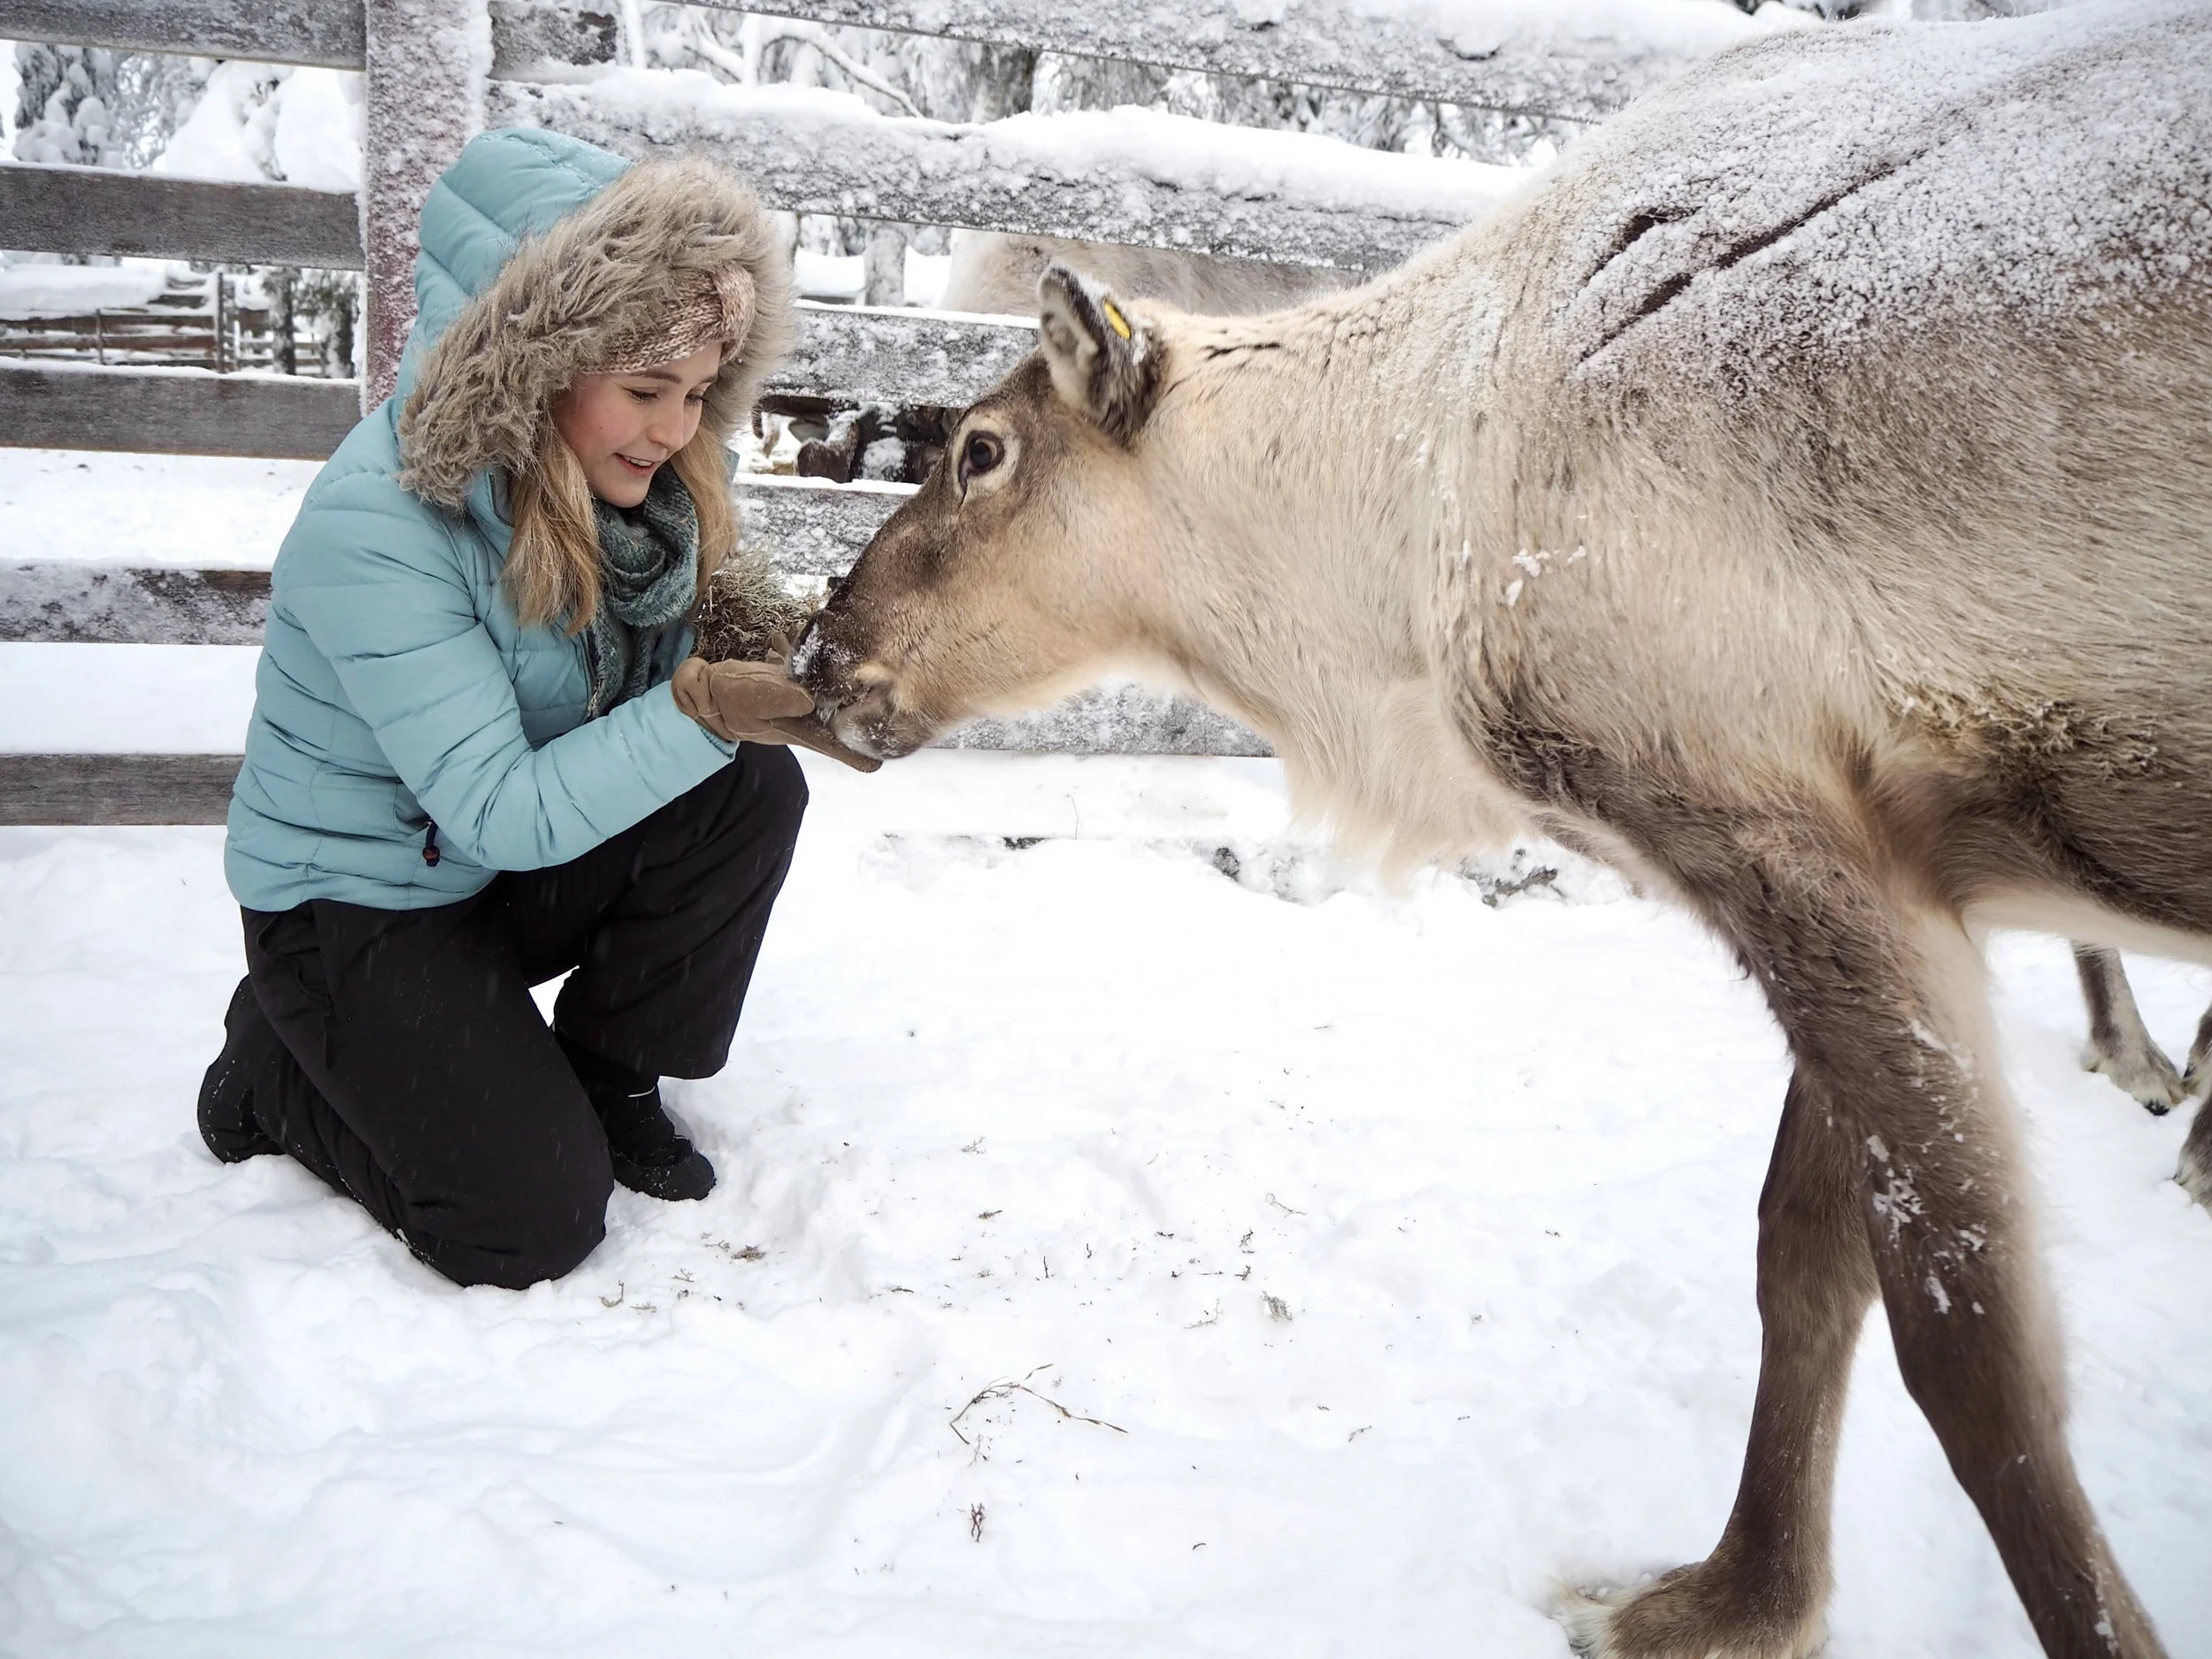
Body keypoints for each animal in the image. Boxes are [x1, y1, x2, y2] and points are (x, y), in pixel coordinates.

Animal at [788, 4, 2211, 1653]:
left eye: (982, 452)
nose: (823, 649)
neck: (1412, 534)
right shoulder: (1878, 856)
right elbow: (1802, 1259)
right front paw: (1732, 1600)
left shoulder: (1789, 839)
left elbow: (1975, 1364)